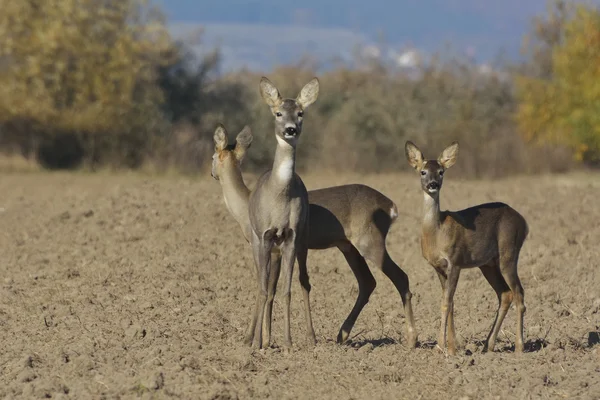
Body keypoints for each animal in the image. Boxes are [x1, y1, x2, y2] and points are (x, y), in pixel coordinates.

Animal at [212, 123, 418, 348]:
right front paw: (266, 339)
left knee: (400, 277)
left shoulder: (261, 244)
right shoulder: (276, 250)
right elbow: (272, 288)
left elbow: (263, 285)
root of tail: (390, 206)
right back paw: (342, 334)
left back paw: (412, 339)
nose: (212, 173)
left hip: (371, 243)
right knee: (367, 282)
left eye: (213, 154)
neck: (246, 203)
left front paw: (251, 339)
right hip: (348, 247)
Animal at [404, 141, 528, 354]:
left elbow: (446, 302)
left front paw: (440, 346)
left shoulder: (455, 261)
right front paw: (452, 348)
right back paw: (488, 345)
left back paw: (519, 347)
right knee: (505, 293)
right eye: (422, 171)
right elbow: (450, 302)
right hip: (488, 264)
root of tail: (524, 223)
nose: (433, 184)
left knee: (519, 293)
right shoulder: (438, 267)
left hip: (509, 253)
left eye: (441, 172)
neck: (436, 233)